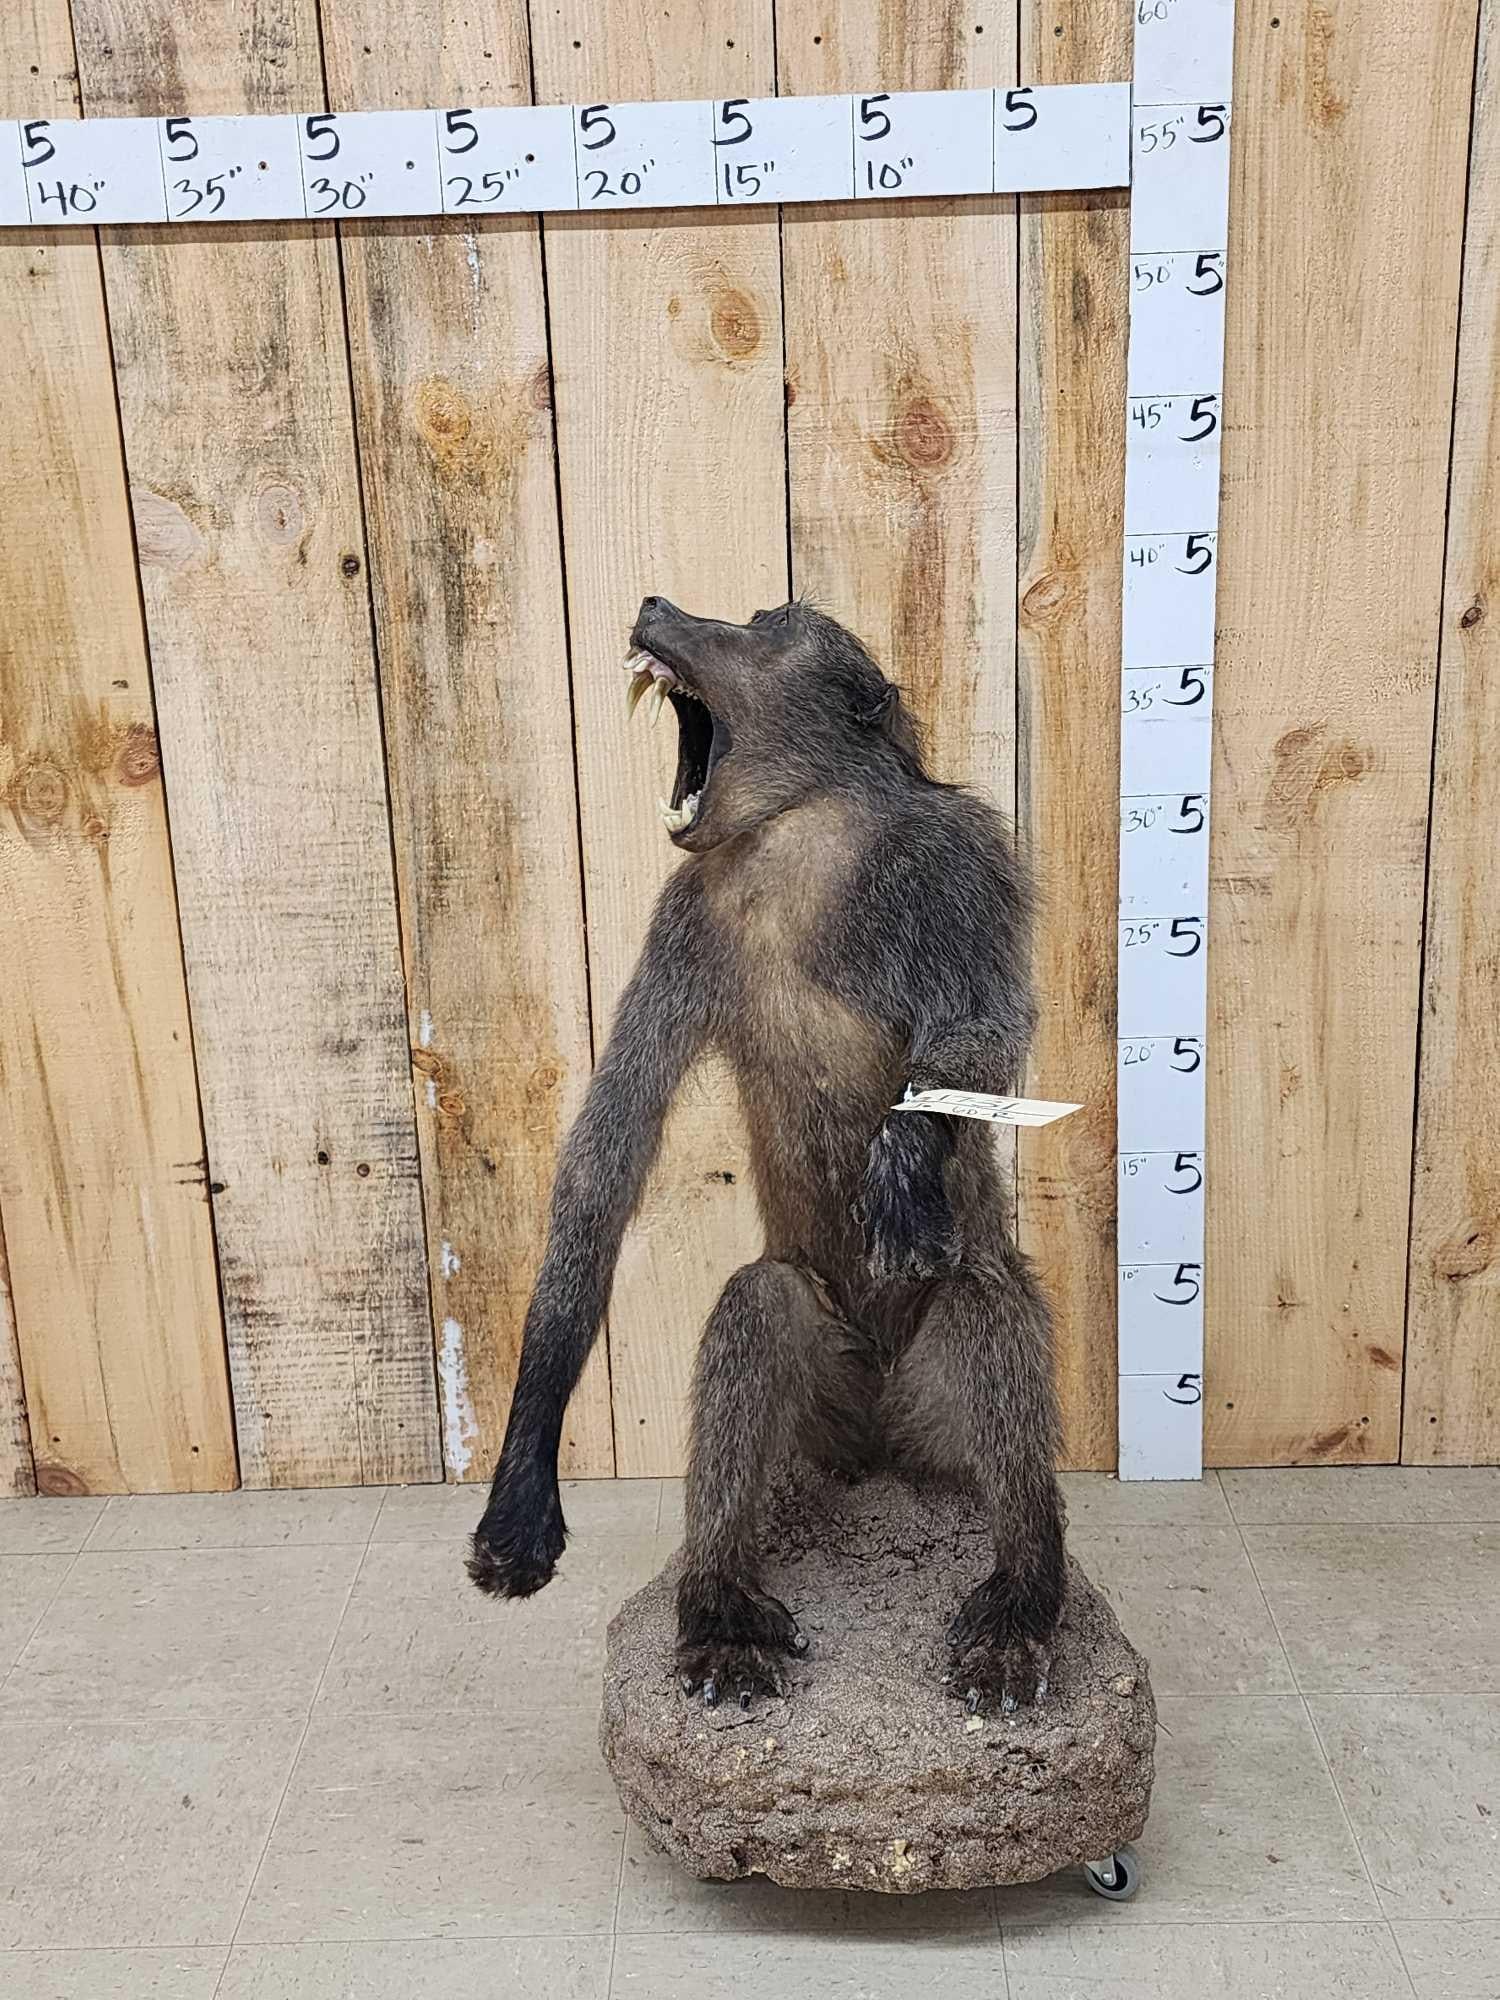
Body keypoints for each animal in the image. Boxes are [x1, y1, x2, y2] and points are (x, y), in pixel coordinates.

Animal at [468, 595, 1066, 1717]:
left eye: (768, 622)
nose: (655, 605)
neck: (803, 831)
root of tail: (882, 1459)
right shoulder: (684, 918)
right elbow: (603, 1162)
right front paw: (522, 1485)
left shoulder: (957, 859)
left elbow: (988, 1029)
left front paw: (904, 1155)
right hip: (825, 1428)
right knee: (761, 1303)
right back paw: (720, 1606)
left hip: (933, 1418)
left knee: (981, 1301)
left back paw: (1023, 1594)